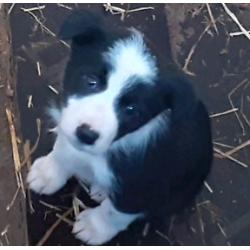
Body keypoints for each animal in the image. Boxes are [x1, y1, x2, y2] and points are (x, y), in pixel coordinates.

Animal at [27, 10, 212, 245]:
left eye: (132, 109)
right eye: (91, 81)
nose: (86, 134)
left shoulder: (141, 188)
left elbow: (115, 213)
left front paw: (94, 227)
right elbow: (64, 150)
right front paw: (48, 173)